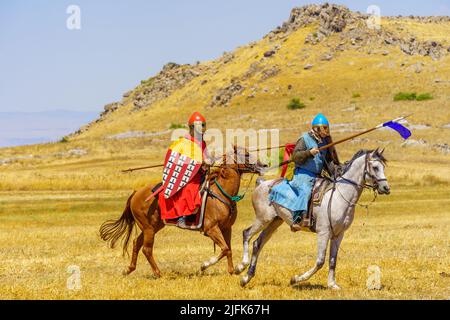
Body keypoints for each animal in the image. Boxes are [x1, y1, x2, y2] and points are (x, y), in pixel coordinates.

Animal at [100, 146, 266, 276]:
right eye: (246, 154)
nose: (263, 165)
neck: (220, 193)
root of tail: (136, 193)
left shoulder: (226, 228)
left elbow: (228, 249)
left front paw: (232, 270)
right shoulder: (211, 229)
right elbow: (225, 248)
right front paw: (204, 265)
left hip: (153, 226)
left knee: (136, 243)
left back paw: (129, 269)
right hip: (148, 228)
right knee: (146, 249)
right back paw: (158, 273)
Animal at [236, 149, 390, 288]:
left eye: (383, 166)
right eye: (375, 167)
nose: (386, 188)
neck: (340, 196)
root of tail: (262, 183)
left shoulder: (338, 234)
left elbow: (333, 260)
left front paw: (332, 285)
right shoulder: (324, 232)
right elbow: (320, 261)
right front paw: (295, 279)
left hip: (275, 222)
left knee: (258, 243)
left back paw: (246, 278)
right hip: (263, 219)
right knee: (246, 234)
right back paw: (240, 267)